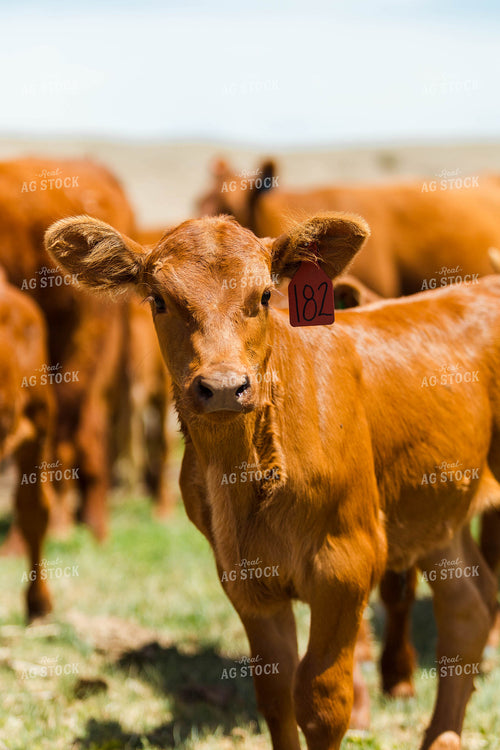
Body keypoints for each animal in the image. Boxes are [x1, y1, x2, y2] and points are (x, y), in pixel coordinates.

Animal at [45, 211, 500, 750]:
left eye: (264, 295)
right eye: (158, 299)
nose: (223, 386)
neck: (244, 478)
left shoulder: (347, 565)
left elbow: (322, 702)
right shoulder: (245, 579)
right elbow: (277, 694)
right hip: (437, 510)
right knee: (468, 610)